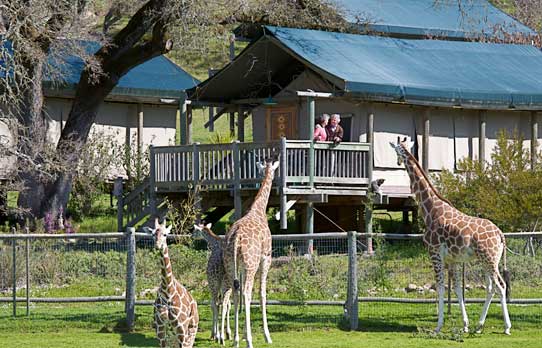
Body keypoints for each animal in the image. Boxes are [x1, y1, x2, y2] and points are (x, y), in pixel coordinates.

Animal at [223, 160, 280, 348]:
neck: (258, 210)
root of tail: (236, 238)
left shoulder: (240, 267)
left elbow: (240, 294)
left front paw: (239, 335)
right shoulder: (266, 258)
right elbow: (262, 293)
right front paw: (267, 336)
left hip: (230, 265)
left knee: (235, 293)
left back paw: (235, 339)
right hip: (251, 265)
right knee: (247, 293)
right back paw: (249, 340)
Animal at [388, 138, 512, 334]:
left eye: (396, 150)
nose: (398, 162)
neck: (430, 209)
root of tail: (500, 234)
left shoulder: (434, 253)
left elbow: (440, 287)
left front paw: (438, 326)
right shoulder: (452, 259)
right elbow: (457, 289)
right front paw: (465, 324)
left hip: (489, 259)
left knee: (500, 285)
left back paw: (506, 327)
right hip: (488, 260)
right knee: (491, 287)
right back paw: (479, 326)